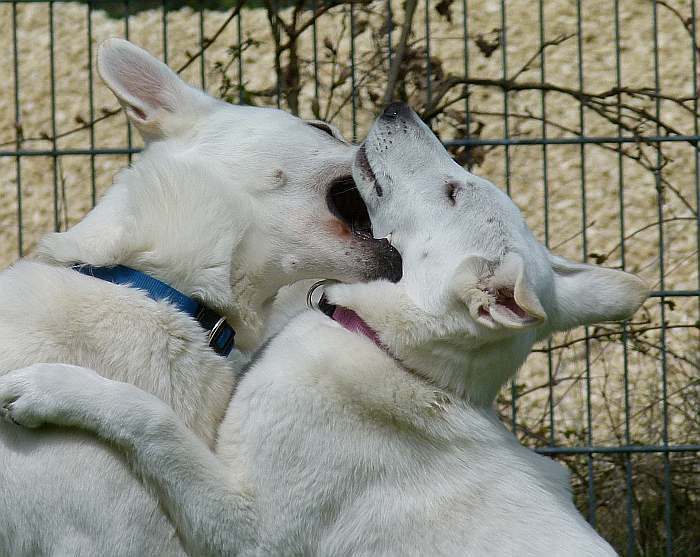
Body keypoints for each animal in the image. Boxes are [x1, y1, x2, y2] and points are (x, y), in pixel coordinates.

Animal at [0, 103, 644, 552]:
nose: (397, 107)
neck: (386, 350)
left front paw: (49, 388)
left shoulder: (245, 529)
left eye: (453, 191)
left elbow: (151, 419)